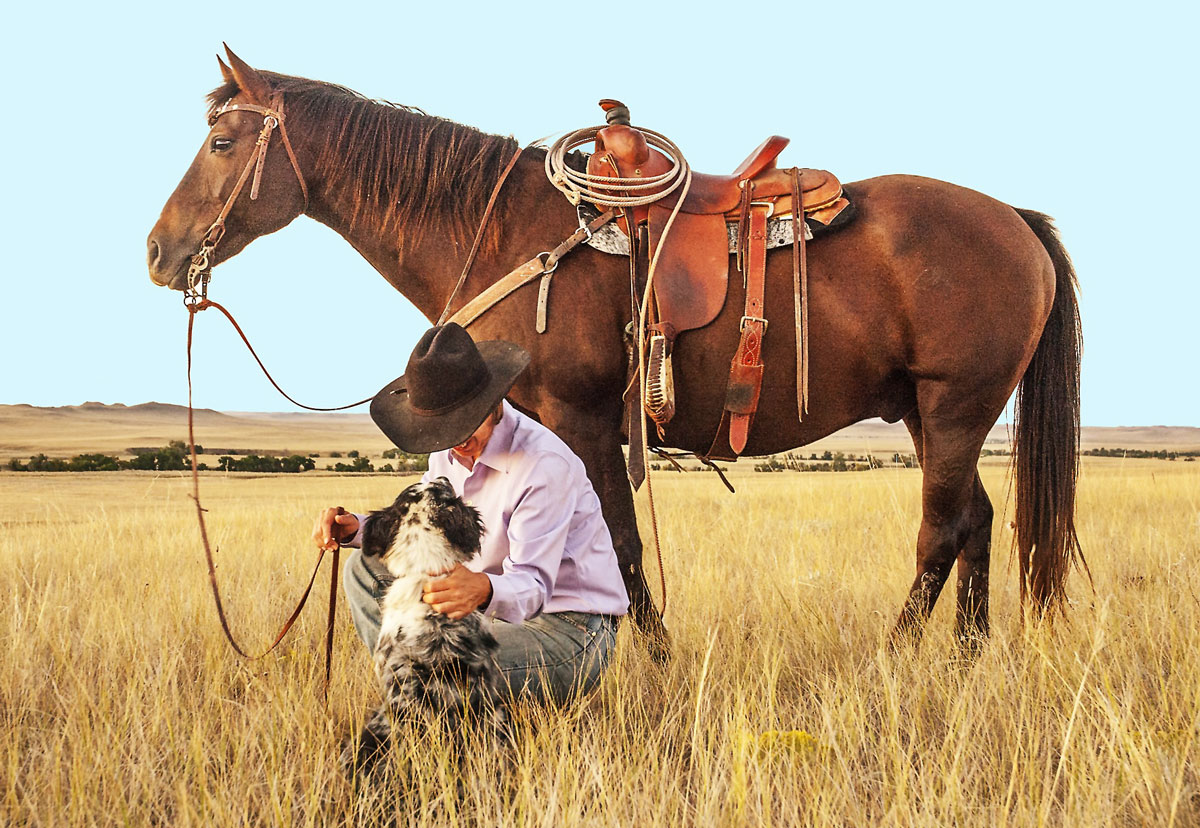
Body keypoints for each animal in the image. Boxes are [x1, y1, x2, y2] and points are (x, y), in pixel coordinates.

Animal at [145, 46, 1084, 652]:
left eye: (223, 143)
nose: (158, 251)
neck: (506, 231)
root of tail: (1014, 219)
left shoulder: (585, 415)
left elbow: (620, 541)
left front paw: (653, 658)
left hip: (956, 407)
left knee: (940, 530)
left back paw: (899, 652)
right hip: (932, 415)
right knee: (976, 521)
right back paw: (965, 656)